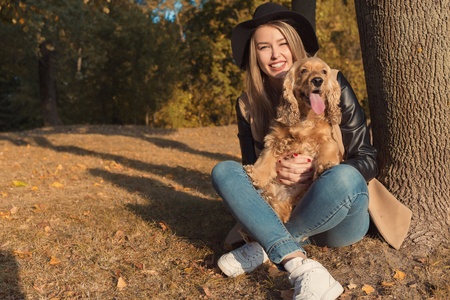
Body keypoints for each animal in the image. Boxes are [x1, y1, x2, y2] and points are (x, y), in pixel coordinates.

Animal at [244, 57, 342, 223]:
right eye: (304, 70)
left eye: (324, 71)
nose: (317, 80)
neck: (305, 118)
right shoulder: (274, 139)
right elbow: (265, 159)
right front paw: (256, 175)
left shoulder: (327, 139)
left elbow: (328, 150)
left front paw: (326, 165)